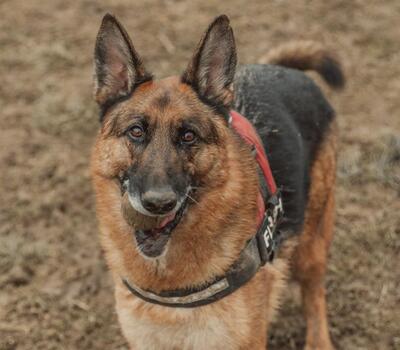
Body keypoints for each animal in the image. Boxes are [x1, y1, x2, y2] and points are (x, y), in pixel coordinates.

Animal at [90, 12, 344, 348]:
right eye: (136, 132)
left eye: (188, 136)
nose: (157, 203)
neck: (169, 281)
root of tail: (285, 71)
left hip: (311, 245)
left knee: (314, 295)